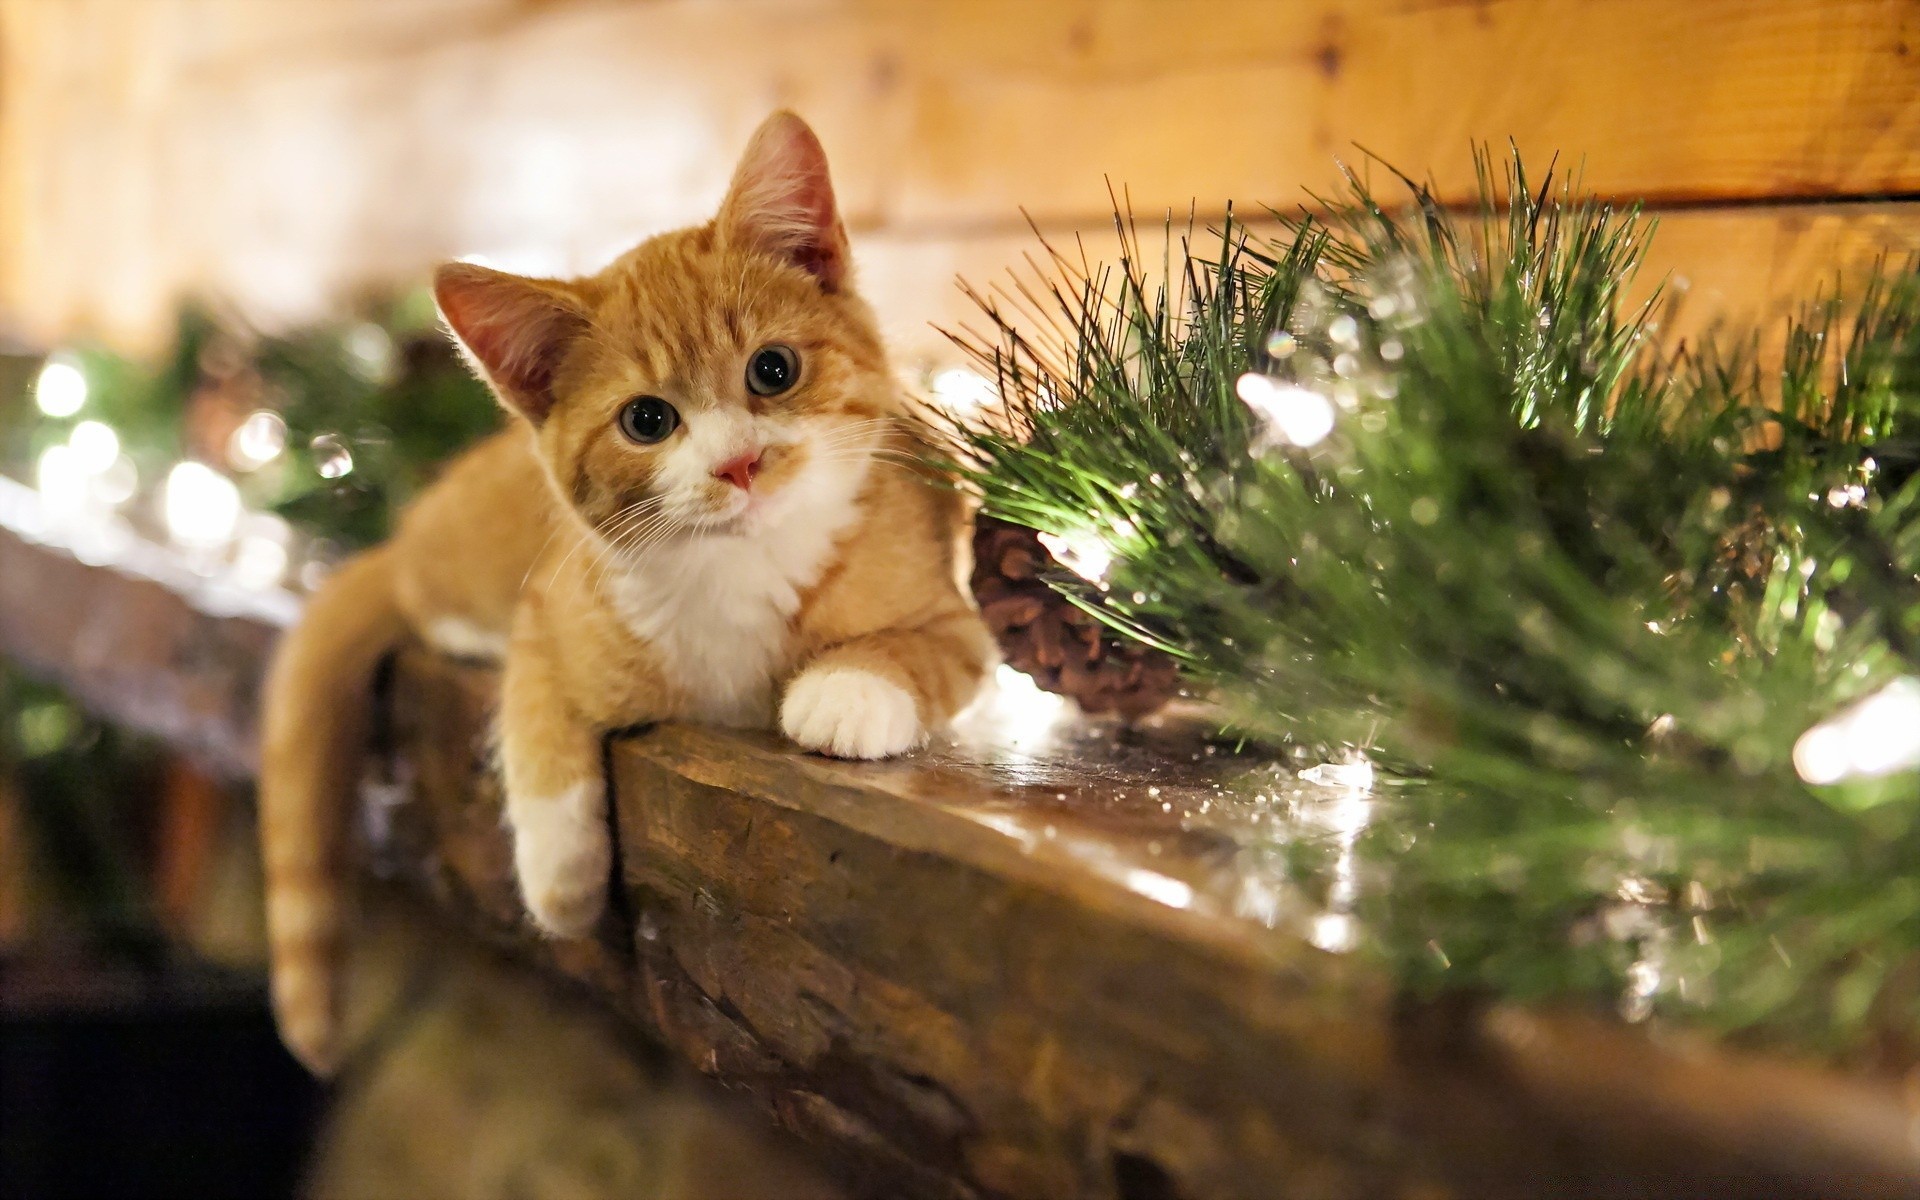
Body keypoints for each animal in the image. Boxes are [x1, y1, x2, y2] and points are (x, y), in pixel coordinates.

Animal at [259, 109, 990, 1067]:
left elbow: (928, 649)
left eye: (774, 370)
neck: (741, 569)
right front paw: (561, 874)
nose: (739, 464)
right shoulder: (551, 609)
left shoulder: (958, 610)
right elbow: (536, 718)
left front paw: (850, 690)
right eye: (648, 420)